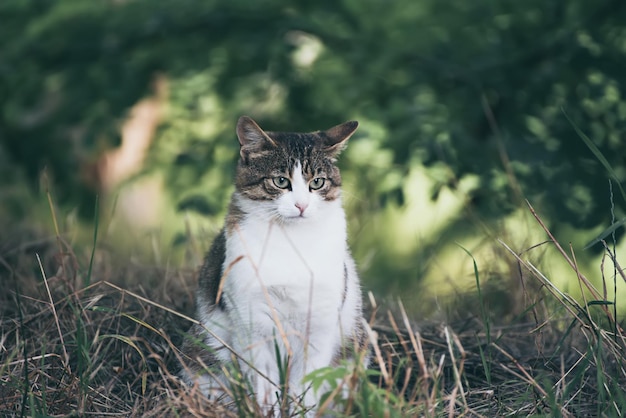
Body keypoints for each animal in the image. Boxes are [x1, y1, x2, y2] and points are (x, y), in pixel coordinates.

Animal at [178, 115, 368, 414]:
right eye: (280, 181)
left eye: (317, 182)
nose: (301, 205)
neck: (290, 241)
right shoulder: (252, 324)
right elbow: (265, 387)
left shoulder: (319, 327)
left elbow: (306, 390)